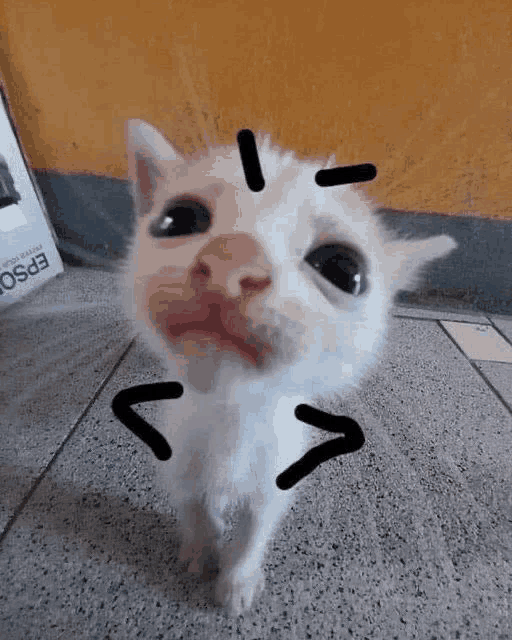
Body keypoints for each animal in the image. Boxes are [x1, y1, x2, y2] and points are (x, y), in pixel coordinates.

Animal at [122, 120, 458, 616]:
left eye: (343, 268)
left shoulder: (277, 477)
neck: (233, 410)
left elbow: (255, 531)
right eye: (178, 219)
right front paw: (202, 547)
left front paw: (238, 580)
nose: (231, 258)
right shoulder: (177, 457)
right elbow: (194, 506)